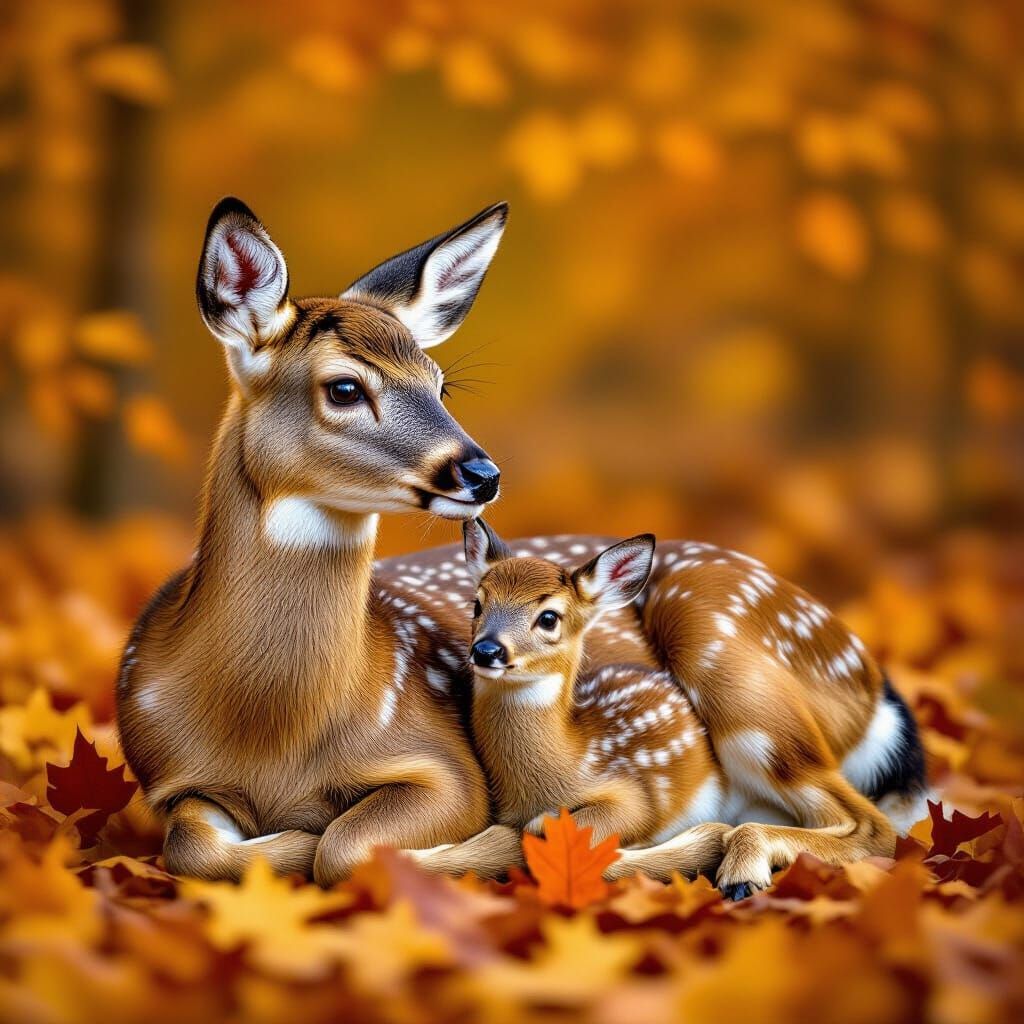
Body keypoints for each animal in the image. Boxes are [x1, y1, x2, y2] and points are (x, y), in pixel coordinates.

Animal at [429, 520, 927, 897]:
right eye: (477, 604)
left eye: (548, 617)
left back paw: (740, 871)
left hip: (749, 705)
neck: (570, 759)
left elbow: (553, 830)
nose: (486, 650)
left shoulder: (636, 792)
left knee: (874, 825)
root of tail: (873, 686)